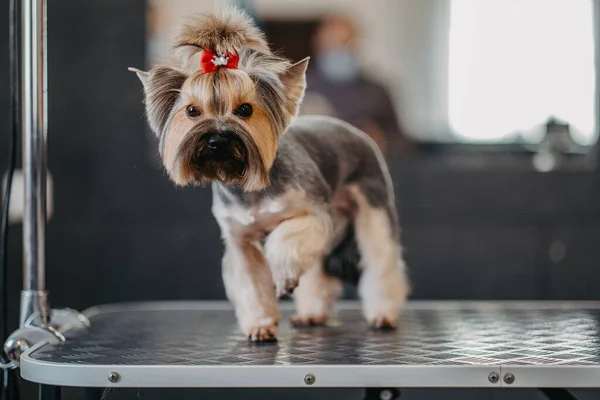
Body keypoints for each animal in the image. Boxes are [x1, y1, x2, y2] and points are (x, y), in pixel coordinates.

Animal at [129, 7, 410, 340]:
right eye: (192, 111)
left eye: (245, 110)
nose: (217, 140)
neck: (246, 182)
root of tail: (358, 132)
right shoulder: (239, 241)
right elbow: (250, 282)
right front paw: (260, 325)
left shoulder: (314, 215)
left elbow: (285, 239)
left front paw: (283, 275)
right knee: (318, 272)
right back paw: (312, 313)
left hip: (373, 205)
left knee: (380, 259)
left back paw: (383, 314)